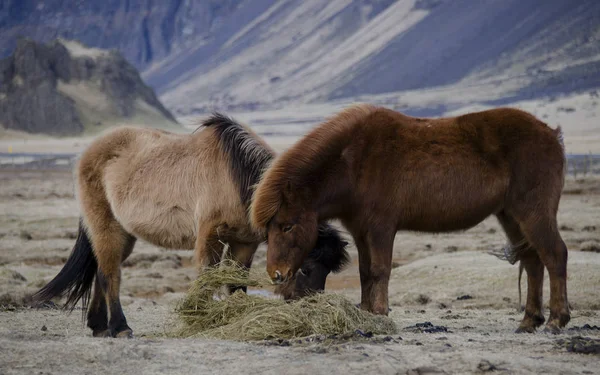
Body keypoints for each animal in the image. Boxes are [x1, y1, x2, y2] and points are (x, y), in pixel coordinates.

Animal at [32, 114, 350, 338]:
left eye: (326, 271)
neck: (237, 177)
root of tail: (90, 151)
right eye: (307, 268)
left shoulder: (244, 242)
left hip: (124, 234)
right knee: (111, 274)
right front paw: (201, 318)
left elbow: (236, 283)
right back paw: (121, 328)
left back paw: (100, 327)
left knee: (101, 270)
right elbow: (206, 277)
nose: (309, 308)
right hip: (106, 227)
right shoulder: (209, 236)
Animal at [251, 104, 568, 334]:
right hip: (511, 217)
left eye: (287, 226)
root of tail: (551, 135)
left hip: (533, 214)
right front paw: (366, 311)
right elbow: (365, 271)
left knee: (554, 255)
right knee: (533, 261)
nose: (276, 274)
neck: (354, 162)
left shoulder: (381, 228)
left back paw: (556, 320)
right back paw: (529, 321)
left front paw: (380, 314)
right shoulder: (360, 231)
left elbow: (380, 270)